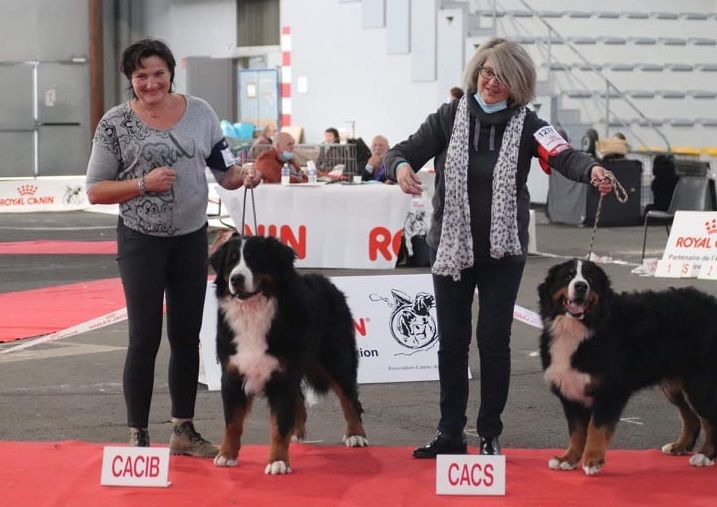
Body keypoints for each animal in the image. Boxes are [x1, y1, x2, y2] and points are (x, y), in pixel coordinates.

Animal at [206, 236, 364, 474]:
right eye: (231, 262)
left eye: (254, 259)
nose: (236, 279)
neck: (253, 312)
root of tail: (326, 281)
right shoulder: (233, 374)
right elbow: (232, 422)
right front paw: (226, 455)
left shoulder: (282, 377)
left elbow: (278, 425)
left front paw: (278, 461)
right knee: (299, 399)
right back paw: (296, 433)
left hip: (335, 359)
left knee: (349, 397)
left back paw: (356, 435)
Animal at [536, 262, 716, 476]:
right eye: (568, 276)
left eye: (590, 278)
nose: (581, 286)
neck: (580, 329)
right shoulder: (570, 391)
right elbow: (577, 432)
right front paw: (568, 459)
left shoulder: (610, 390)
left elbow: (595, 428)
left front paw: (592, 461)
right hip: (675, 386)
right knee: (691, 418)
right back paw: (679, 447)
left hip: (699, 383)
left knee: (710, 419)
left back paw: (705, 456)